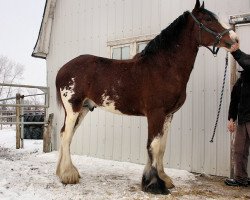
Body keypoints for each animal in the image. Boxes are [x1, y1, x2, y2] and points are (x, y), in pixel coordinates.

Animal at [55, 0, 238, 195]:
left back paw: (62, 172)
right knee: (67, 136)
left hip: (83, 109)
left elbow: (162, 147)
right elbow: (154, 145)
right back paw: (68, 175)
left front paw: (164, 179)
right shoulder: (155, 113)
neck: (163, 67)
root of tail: (63, 69)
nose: (235, 40)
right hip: (73, 108)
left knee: (65, 134)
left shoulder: (168, 115)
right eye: (209, 19)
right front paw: (154, 184)